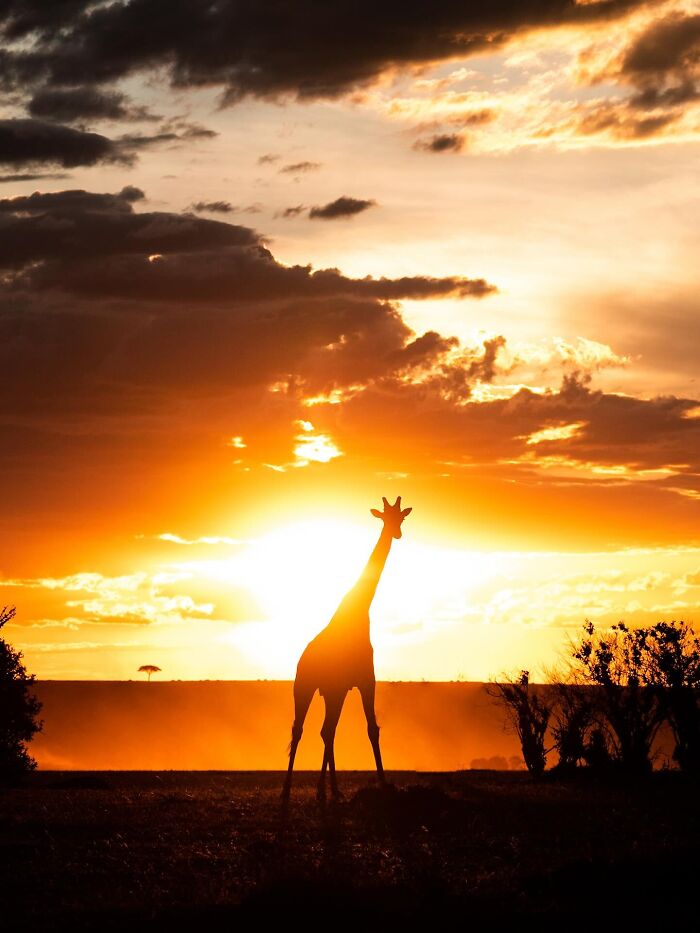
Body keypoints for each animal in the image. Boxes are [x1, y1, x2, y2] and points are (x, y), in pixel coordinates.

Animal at [282, 496, 412, 802]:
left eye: (401, 518)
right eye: (384, 518)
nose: (397, 534)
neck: (359, 611)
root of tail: (301, 660)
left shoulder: (358, 683)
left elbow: (367, 729)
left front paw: (381, 783)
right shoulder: (358, 682)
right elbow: (362, 729)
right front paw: (382, 783)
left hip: (330, 692)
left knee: (325, 731)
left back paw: (328, 790)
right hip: (305, 687)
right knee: (301, 729)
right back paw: (290, 790)